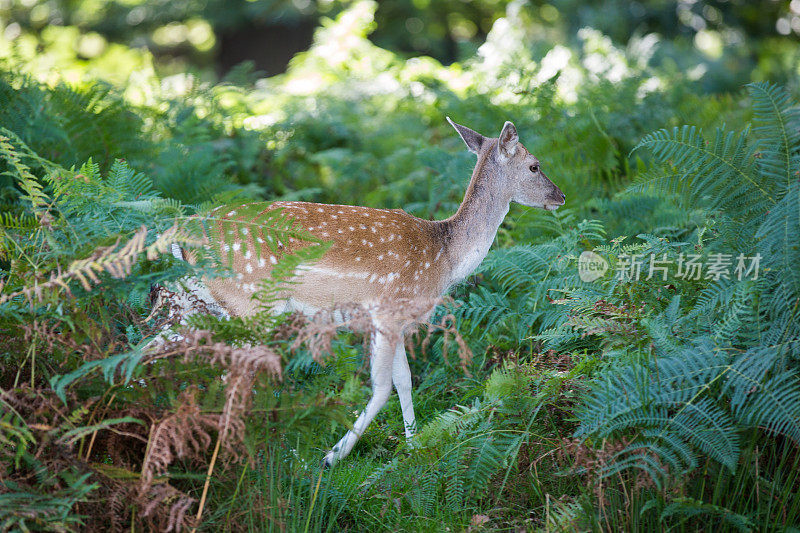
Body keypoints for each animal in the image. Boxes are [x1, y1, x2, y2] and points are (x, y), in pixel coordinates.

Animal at [166, 117, 564, 466]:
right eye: (534, 165)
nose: (560, 196)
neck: (444, 257)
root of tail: (179, 236)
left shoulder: (397, 320)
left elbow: (405, 380)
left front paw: (414, 447)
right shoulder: (386, 310)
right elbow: (383, 386)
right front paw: (332, 456)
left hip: (196, 305)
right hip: (248, 303)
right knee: (229, 377)